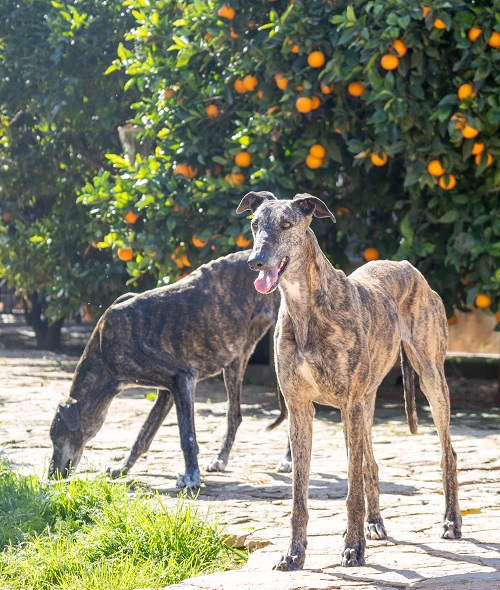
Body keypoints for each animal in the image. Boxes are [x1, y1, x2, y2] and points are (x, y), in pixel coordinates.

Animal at [49, 250, 288, 488]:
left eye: (58, 439)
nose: (51, 477)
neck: (102, 348)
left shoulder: (182, 378)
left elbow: (187, 436)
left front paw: (191, 476)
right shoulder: (168, 391)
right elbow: (144, 434)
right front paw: (122, 467)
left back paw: (287, 460)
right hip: (235, 361)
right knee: (234, 415)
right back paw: (220, 459)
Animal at [237, 191, 461, 569]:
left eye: (286, 224)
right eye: (254, 224)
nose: (256, 262)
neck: (305, 305)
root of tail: (407, 264)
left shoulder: (349, 404)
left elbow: (352, 490)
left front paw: (353, 547)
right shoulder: (300, 408)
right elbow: (299, 493)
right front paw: (294, 553)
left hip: (430, 379)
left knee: (448, 454)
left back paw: (451, 521)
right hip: (365, 402)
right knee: (370, 462)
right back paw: (375, 523)